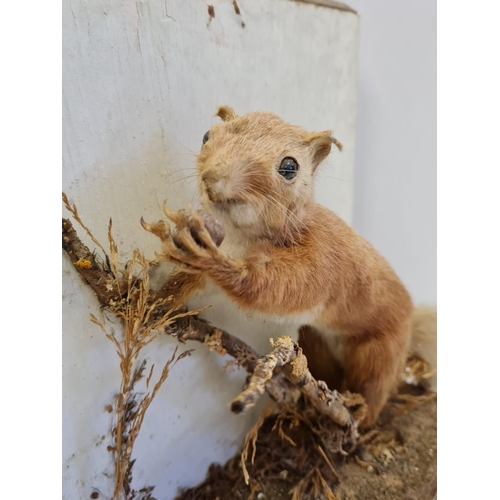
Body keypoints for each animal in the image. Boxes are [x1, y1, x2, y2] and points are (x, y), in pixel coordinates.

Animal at [146, 104, 436, 426]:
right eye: (207, 135)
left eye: (289, 167)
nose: (213, 179)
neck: (240, 237)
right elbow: (186, 284)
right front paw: (158, 302)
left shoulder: (323, 260)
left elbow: (279, 287)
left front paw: (215, 263)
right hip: (315, 339)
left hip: (380, 351)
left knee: (374, 389)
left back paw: (356, 413)